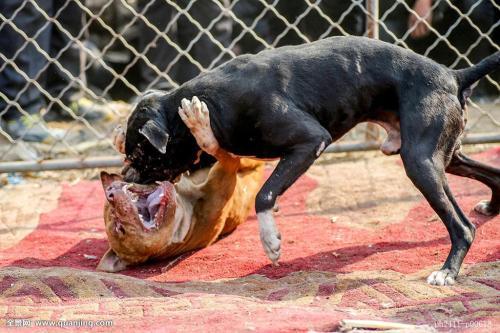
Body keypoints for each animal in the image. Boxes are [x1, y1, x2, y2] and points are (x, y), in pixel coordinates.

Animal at [122, 37, 500, 286]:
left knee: (462, 226)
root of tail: (454, 74)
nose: (124, 175)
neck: (204, 100)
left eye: (140, 154)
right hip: (444, 157)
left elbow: (264, 195)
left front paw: (271, 242)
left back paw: (447, 271)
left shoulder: (310, 141)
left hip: (421, 162)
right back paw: (491, 207)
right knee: (492, 174)